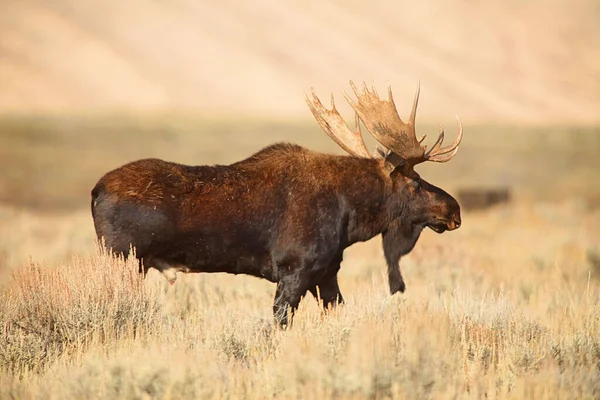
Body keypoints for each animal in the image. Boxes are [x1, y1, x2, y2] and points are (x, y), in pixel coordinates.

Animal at [90, 80, 464, 324]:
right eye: (415, 182)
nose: (454, 210)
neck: (350, 216)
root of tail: (95, 192)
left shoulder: (326, 272)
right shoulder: (294, 270)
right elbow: (280, 322)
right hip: (124, 259)